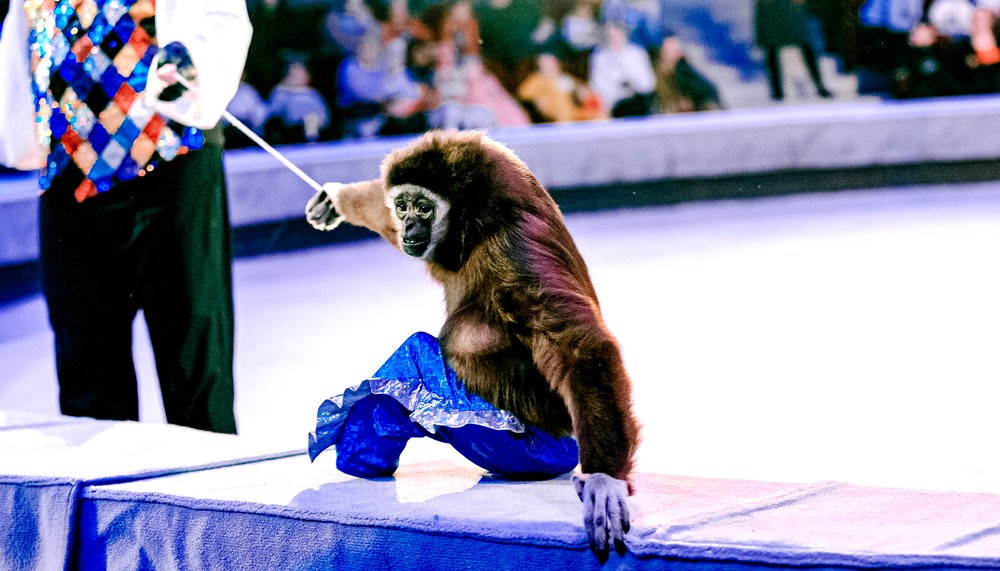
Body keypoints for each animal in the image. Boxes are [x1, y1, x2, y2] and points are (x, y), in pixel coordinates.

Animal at [305, 130, 640, 560]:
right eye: (401, 205)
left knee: (432, 347)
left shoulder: (514, 246)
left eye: (424, 208)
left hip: (522, 440)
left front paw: (604, 482)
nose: (409, 226)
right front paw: (338, 197)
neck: (478, 226)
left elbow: (577, 345)